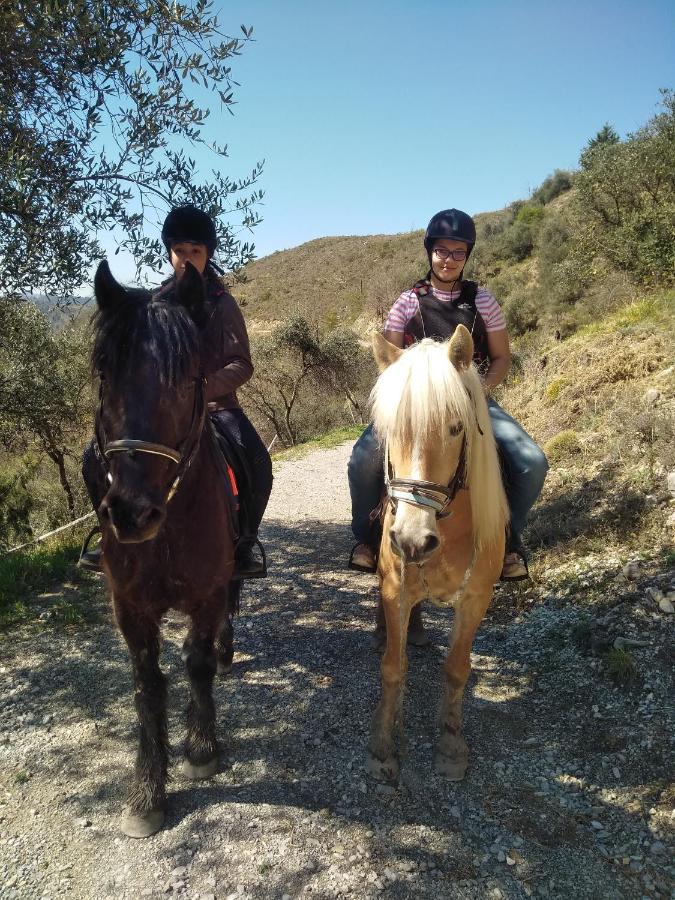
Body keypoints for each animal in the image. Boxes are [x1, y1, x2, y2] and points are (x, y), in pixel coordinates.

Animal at [90, 260, 238, 836]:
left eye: (185, 378)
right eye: (104, 376)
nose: (131, 513)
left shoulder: (207, 592)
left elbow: (196, 663)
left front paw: (201, 748)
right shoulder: (130, 609)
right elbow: (147, 686)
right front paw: (147, 792)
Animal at [368, 326, 510, 784]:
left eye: (455, 427)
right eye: (389, 429)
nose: (413, 540)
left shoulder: (476, 597)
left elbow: (457, 667)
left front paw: (450, 745)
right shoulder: (395, 587)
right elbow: (393, 668)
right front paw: (383, 747)